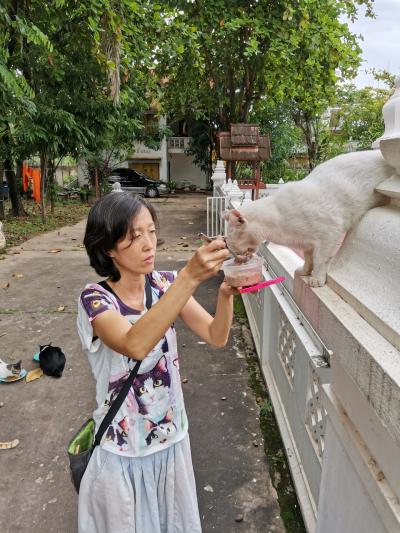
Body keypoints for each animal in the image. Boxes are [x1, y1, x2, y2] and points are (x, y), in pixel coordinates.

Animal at [225, 150, 394, 286]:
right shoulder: (307, 244)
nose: (234, 254)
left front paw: (317, 279)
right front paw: (305, 271)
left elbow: (320, 260)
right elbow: (308, 259)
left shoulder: (328, 235)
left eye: (231, 238)